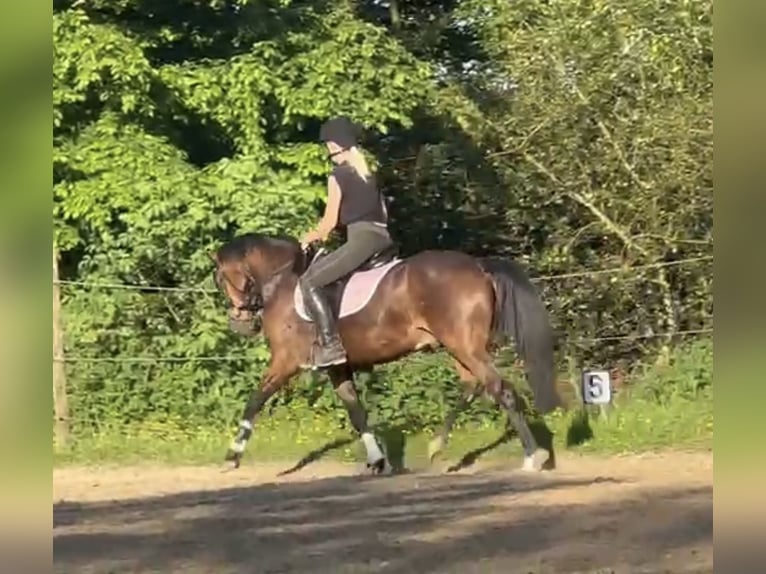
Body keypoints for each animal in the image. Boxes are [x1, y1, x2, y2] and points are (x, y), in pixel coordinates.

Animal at [213, 232, 560, 474]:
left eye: (222, 277)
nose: (238, 322)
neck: (282, 282)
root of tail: (477, 265)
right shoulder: (337, 367)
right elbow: (357, 412)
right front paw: (378, 461)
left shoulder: (285, 361)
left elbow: (255, 400)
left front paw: (232, 456)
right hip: (459, 347)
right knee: (473, 385)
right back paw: (436, 446)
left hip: (465, 346)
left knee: (501, 389)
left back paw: (533, 457)